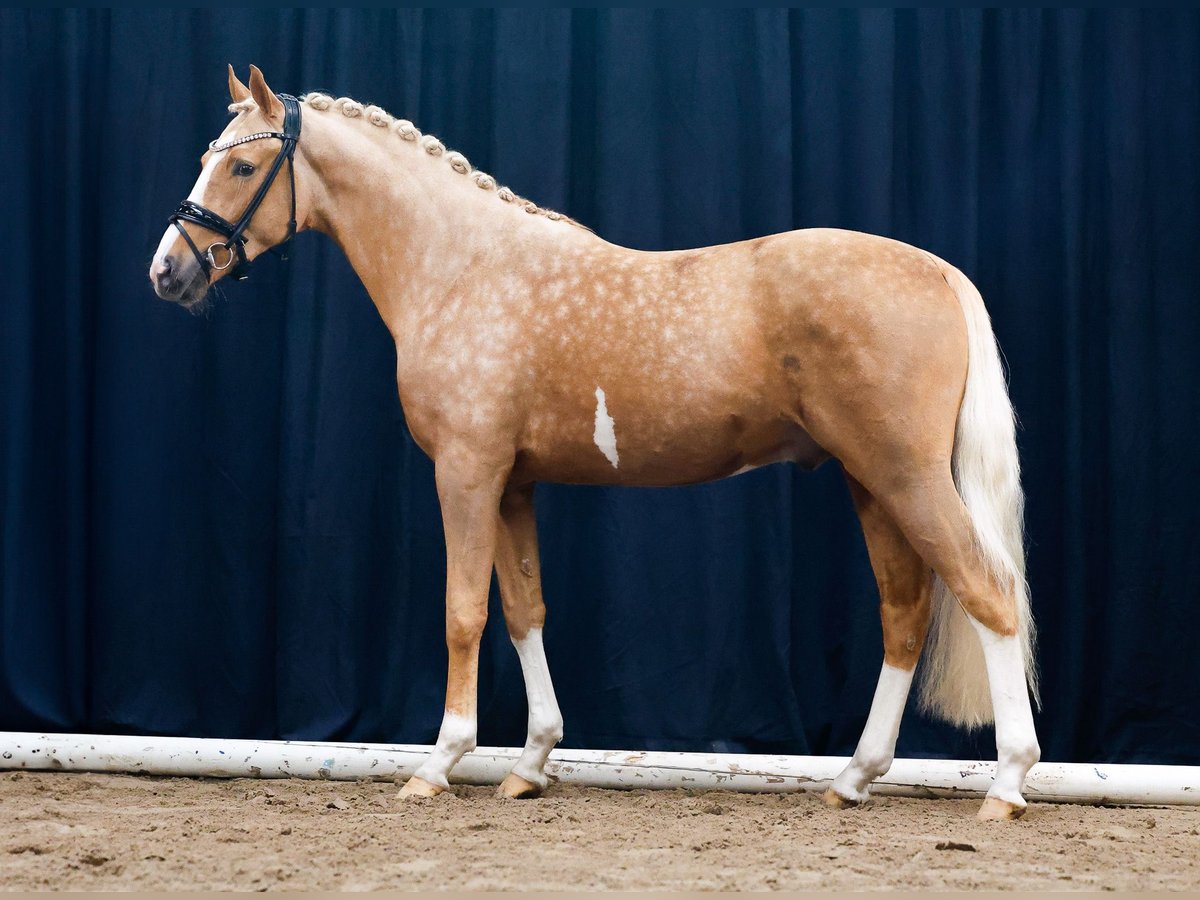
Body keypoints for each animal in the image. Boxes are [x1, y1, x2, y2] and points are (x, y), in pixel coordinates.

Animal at [152, 66, 1041, 820]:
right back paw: (854, 778)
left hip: (906, 478)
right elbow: (525, 610)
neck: (462, 268)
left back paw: (1005, 784)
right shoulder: (512, 483)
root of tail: (937, 272)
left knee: (987, 594)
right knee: (905, 612)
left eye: (242, 167)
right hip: (871, 481)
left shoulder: (466, 473)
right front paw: (530, 763)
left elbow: (464, 613)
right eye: (203, 159)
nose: (168, 273)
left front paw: (438, 764)